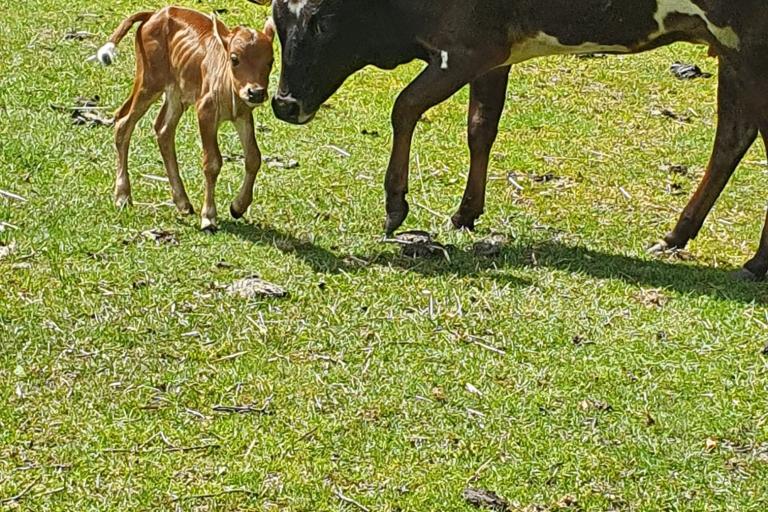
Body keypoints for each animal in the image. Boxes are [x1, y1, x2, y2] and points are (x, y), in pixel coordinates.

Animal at [97, 6, 274, 229]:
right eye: (234, 58)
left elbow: (253, 157)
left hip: (176, 92)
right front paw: (208, 217)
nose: (256, 92)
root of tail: (153, 14)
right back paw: (122, 196)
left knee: (163, 130)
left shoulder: (243, 114)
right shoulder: (205, 111)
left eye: (270, 61)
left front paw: (238, 207)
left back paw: (183, 203)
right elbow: (212, 162)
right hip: (149, 81)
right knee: (123, 121)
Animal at [262, 0, 760, 280]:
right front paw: (466, 211)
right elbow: (481, 127)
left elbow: (404, 107)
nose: (283, 104)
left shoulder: (466, 49)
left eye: (321, 22)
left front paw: (395, 203)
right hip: (734, 53)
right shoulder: (493, 55)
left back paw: (755, 262)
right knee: (734, 135)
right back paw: (678, 235)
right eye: (278, 24)